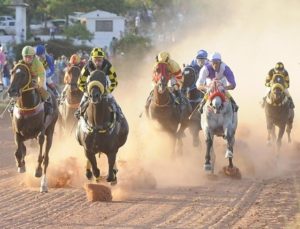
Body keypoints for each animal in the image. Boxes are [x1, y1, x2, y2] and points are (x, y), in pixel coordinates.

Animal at [7, 62, 58, 191]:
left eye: (23, 74)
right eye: (12, 72)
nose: (11, 91)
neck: (27, 107)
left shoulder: (40, 132)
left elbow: (41, 154)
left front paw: (37, 170)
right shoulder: (18, 132)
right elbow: (19, 151)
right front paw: (21, 165)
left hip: (50, 131)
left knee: (46, 159)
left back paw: (44, 184)